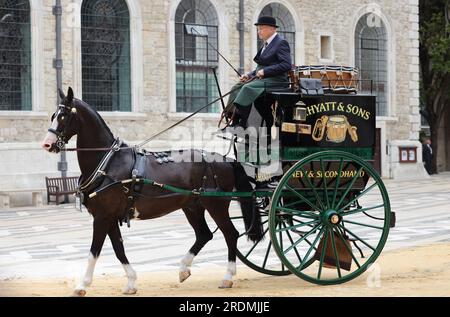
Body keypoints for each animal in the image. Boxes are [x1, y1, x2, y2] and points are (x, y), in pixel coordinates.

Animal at [41, 87, 264, 296]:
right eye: (53, 115)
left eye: (64, 116)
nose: (47, 144)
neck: (107, 163)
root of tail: (225, 159)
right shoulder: (109, 217)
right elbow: (119, 249)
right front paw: (131, 282)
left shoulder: (102, 217)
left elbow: (94, 252)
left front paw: (82, 285)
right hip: (192, 207)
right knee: (204, 235)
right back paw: (183, 268)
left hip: (216, 205)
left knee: (230, 234)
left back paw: (227, 276)